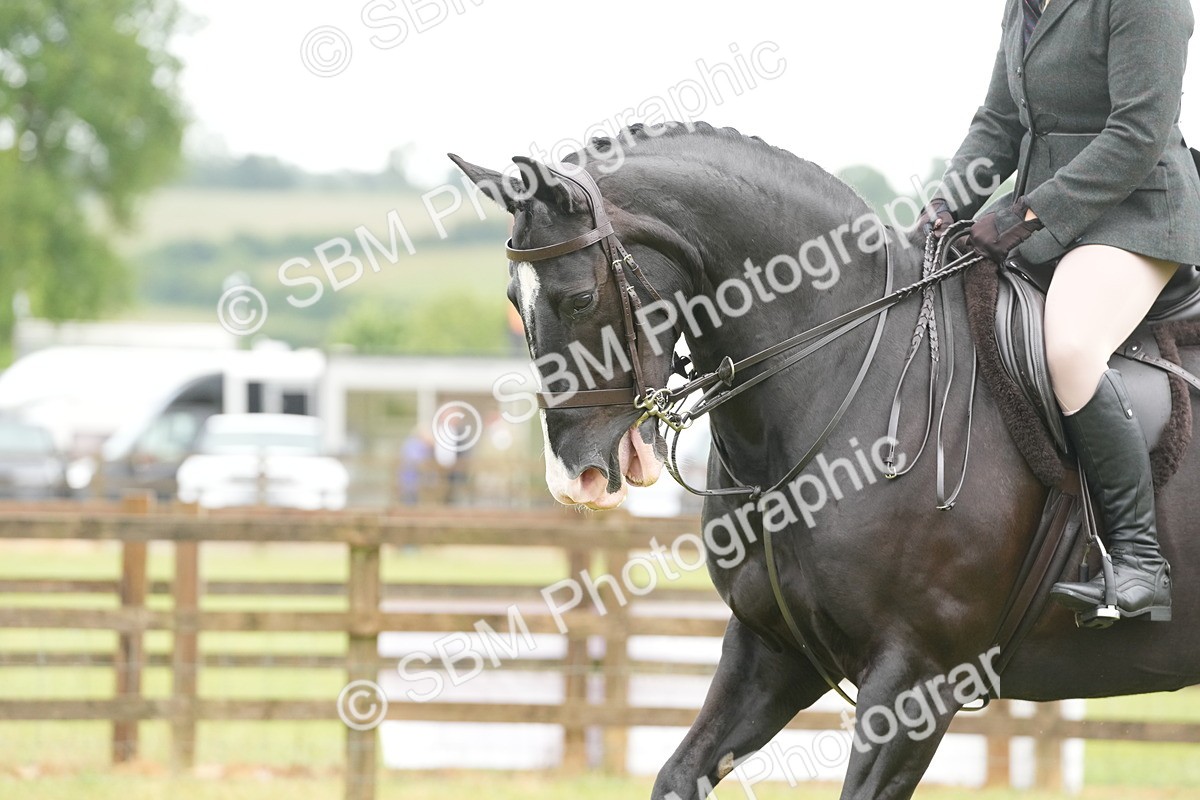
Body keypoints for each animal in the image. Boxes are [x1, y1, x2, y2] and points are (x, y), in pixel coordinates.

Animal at [450, 121, 1200, 799]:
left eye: (578, 299)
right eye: (514, 301)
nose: (573, 476)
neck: (844, 368)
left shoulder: (919, 676)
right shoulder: (772, 652)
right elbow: (678, 775)